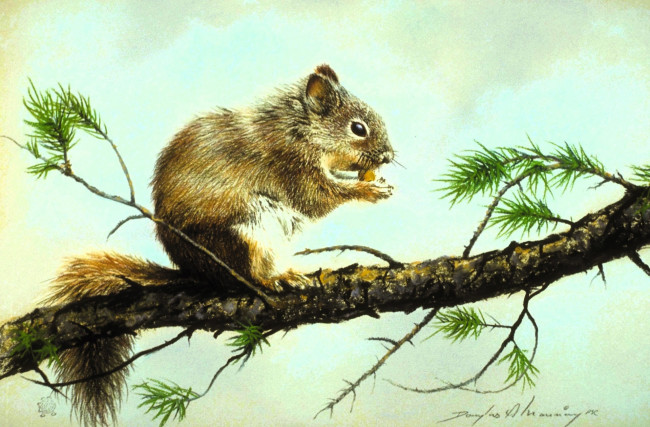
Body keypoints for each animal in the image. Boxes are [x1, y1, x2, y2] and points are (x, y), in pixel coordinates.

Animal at [45, 64, 394, 425]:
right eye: (358, 128)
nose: (389, 156)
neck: (298, 130)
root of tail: (199, 273)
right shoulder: (292, 166)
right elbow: (319, 197)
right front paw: (369, 190)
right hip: (244, 236)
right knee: (249, 278)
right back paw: (276, 279)